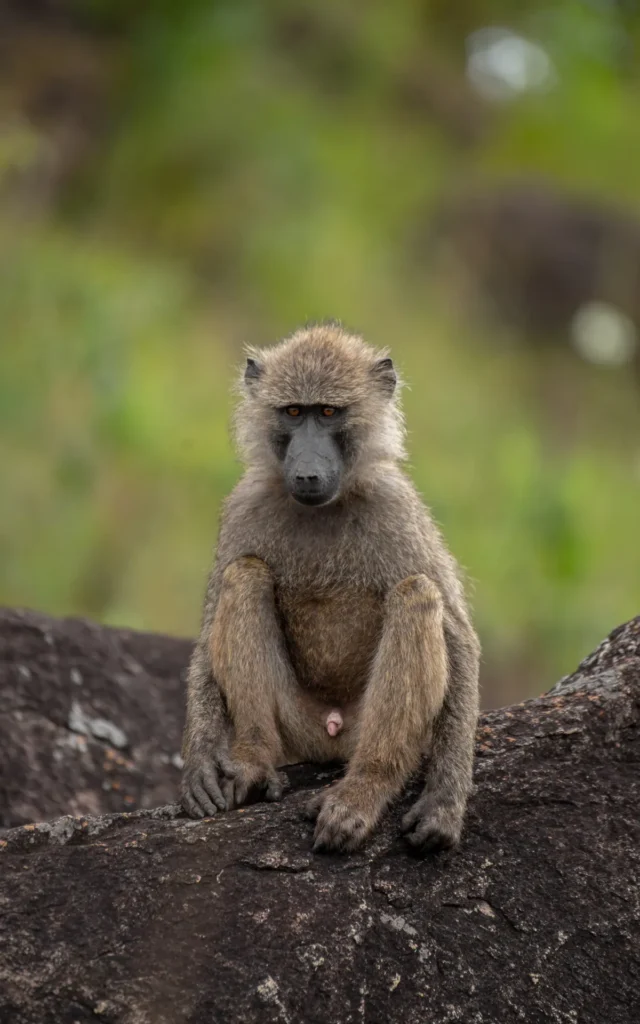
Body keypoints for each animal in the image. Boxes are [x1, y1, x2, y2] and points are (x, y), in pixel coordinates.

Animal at [181, 322, 480, 853]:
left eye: (327, 412)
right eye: (293, 412)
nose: (306, 472)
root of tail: (332, 735)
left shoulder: (396, 508)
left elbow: (460, 639)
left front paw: (444, 803)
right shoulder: (244, 506)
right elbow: (207, 633)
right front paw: (200, 762)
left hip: (365, 728)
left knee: (417, 593)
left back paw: (364, 790)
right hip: (296, 725)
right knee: (245, 574)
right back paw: (253, 763)